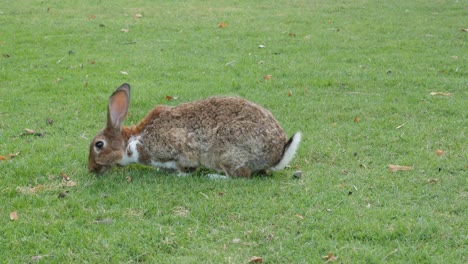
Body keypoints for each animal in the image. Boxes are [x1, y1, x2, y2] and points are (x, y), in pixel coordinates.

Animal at [88, 82, 302, 177]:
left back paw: (214, 177)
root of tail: (276, 154)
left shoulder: (176, 147)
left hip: (227, 153)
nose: (91, 168)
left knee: (239, 175)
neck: (130, 141)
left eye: (99, 145)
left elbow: (185, 164)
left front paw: (179, 174)